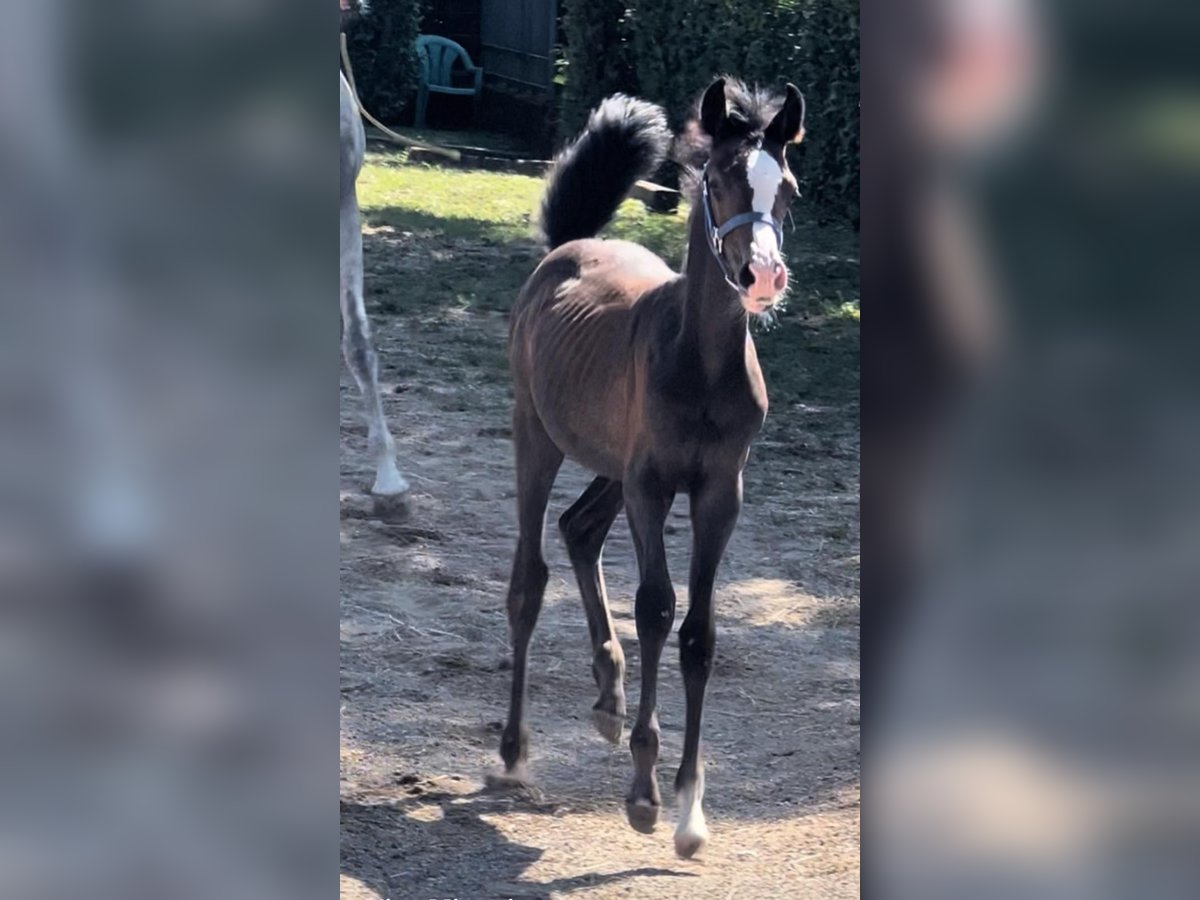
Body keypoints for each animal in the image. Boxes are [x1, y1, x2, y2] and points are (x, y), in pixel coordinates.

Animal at [492, 78, 805, 858]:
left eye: (787, 189)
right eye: (718, 180)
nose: (763, 277)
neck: (702, 364)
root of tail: (567, 247)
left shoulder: (720, 492)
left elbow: (700, 633)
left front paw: (691, 810)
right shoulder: (652, 489)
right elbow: (658, 609)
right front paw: (643, 794)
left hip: (611, 463)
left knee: (578, 529)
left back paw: (608, 696)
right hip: (539, 435)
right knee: (529, 579)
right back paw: (512, 751)